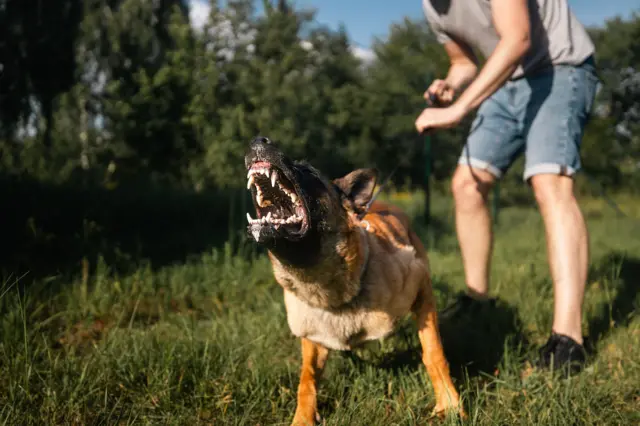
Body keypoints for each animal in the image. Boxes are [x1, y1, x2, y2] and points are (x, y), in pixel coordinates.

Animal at [245, 137, 464, 426]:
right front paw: (303, 417)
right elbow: (307, 379)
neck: (331, 291)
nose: (259, 140)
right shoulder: (312, 336)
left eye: (309, 171)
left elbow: (433, 352)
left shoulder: (422, 287)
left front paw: (449, 403)